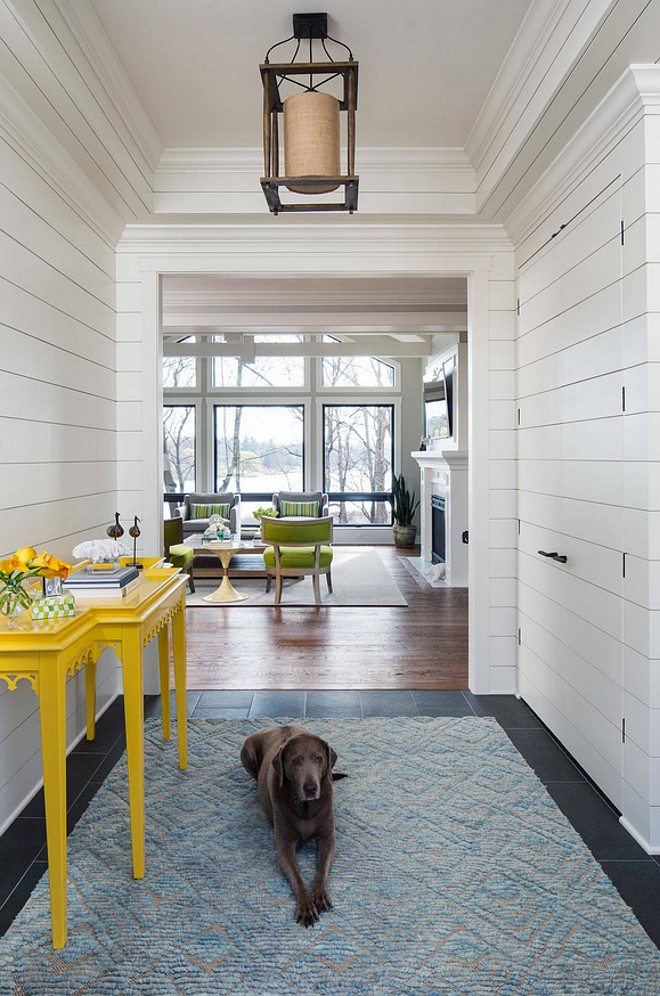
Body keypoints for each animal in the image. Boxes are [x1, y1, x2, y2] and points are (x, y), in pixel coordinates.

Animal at [240, 724, 338, 924]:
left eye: (318, 758)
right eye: (295, 761)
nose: (311, 788)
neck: (305, 807)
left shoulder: (327, 839)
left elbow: (321, 869)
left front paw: (320, 895)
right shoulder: (285, 848)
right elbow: (297, 878)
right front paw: (306, 906)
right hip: (247, 749)